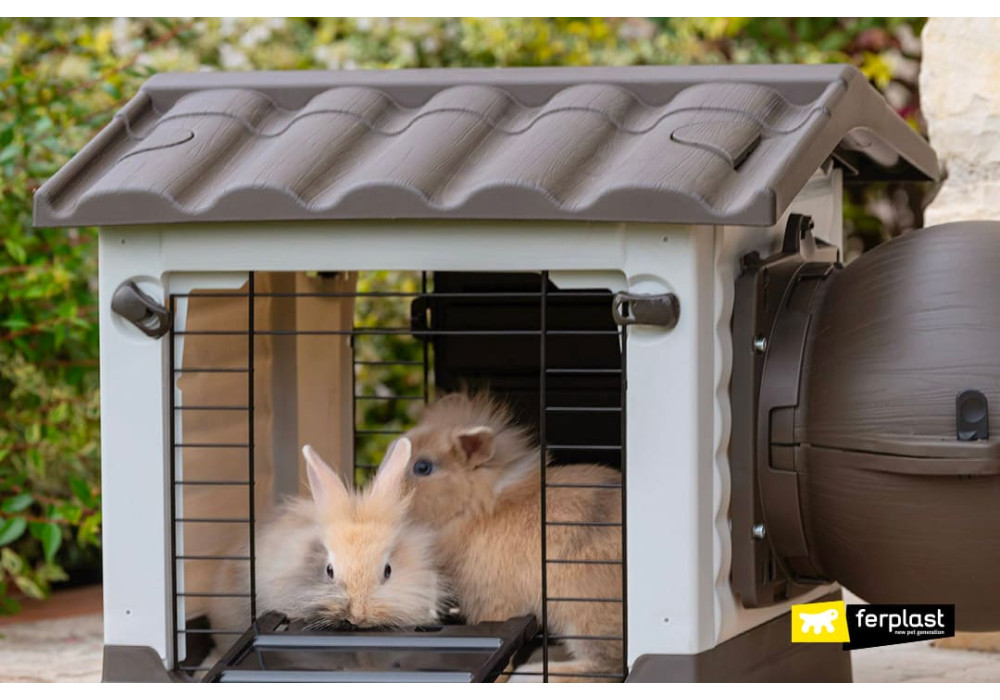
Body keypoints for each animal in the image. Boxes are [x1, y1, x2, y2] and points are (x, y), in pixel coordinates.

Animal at [401, 392, 623, 682]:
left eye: (423, 467)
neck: (477, 508)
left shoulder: (497, 601)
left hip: (586, 613)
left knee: (605, 665)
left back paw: (529, 674)